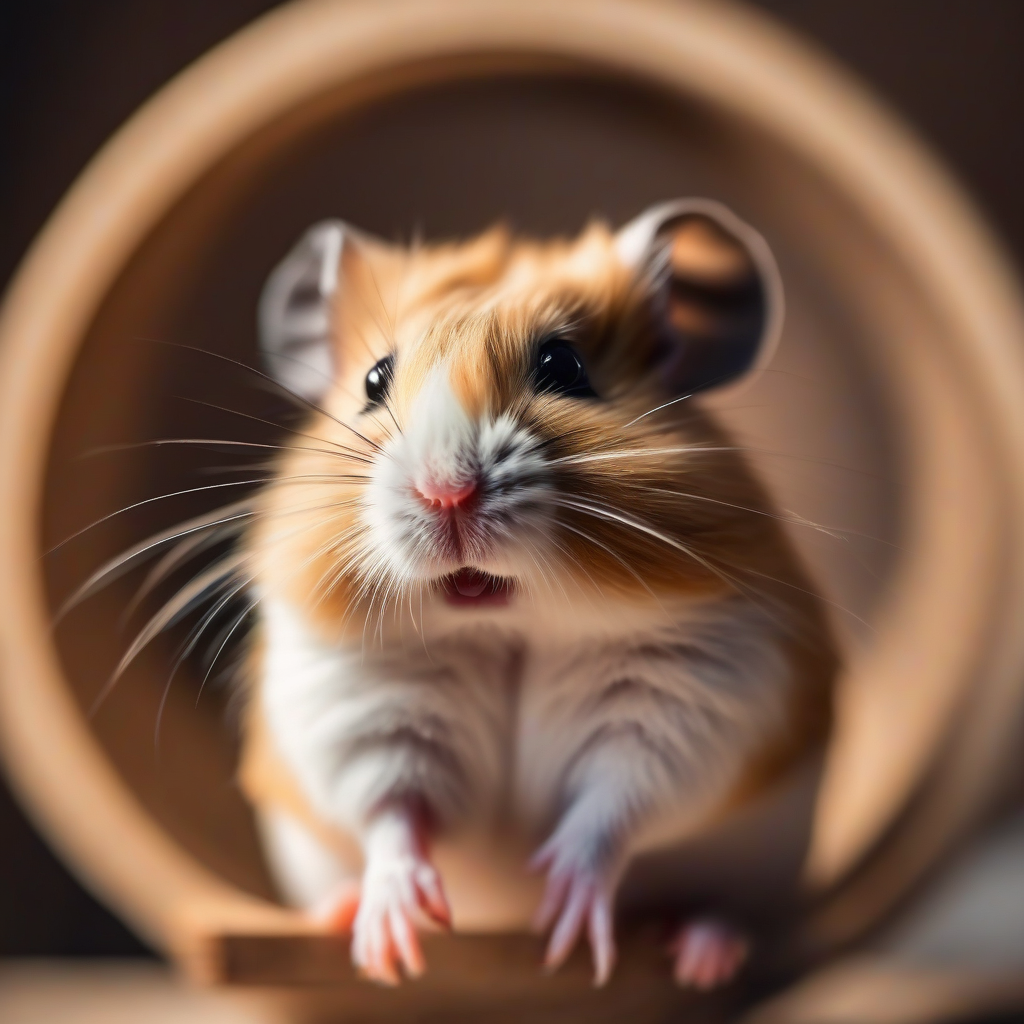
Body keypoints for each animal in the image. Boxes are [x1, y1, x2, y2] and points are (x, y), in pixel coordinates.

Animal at [235, 200, 837, 988]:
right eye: (373, 379)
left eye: (564, 366)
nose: (445, 491)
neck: (509, 624)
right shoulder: (363, 699)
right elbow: (391, 810)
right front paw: (397, 941)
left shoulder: (684, 696)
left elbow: (613, 806)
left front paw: (563, 925)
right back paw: (340, 917)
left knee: (729, 908)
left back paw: (704, 953)